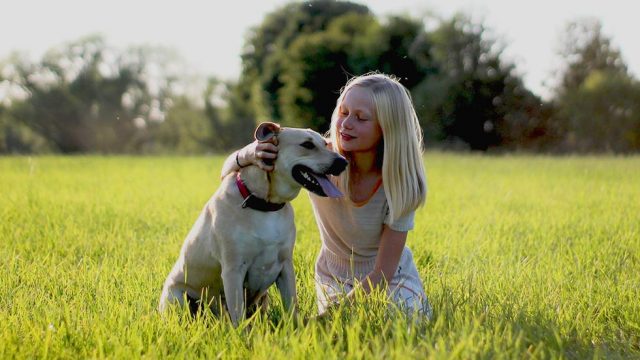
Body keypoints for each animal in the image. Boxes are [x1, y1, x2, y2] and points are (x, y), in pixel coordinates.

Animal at [158, 122, 348, 324]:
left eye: (325, 144)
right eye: (307, 145)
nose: (343, 162)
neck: (265, 204)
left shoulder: (286, 266)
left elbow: (291, 307)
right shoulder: (233, 270)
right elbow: (238, 317)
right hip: (178, 297)